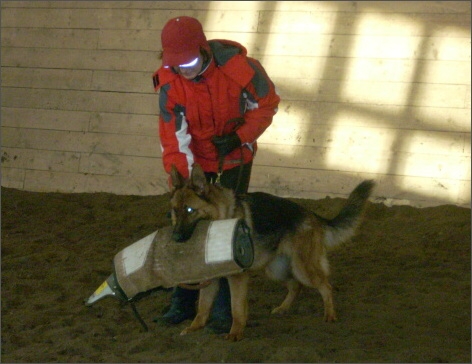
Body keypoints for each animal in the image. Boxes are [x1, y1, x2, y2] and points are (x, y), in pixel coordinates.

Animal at [171, 165, 376, 342]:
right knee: (296, 286)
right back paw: (283, 308)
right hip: (276, 270)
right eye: (174, 211)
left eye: (190, 210)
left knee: (325, 286)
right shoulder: (210, 279)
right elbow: (202, 308)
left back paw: (330, 315)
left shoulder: (238, 278)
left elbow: (236, 308)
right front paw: (193, 328)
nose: (175, 237)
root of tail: (312, 215)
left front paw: (235, 333)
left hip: (302, 268)